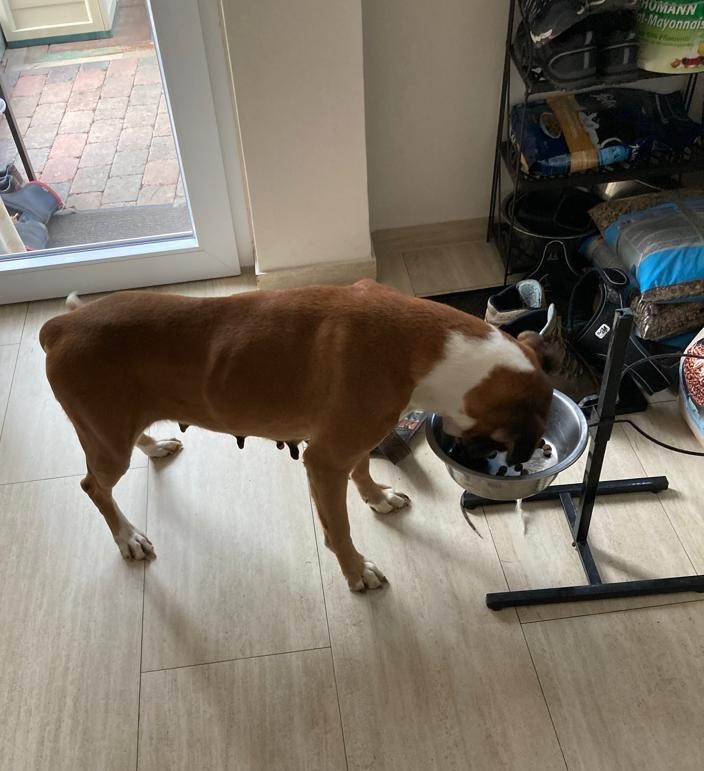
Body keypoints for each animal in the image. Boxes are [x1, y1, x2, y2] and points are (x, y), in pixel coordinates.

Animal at [39, 279, 553, 591]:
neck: (426, 348)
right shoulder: (325, 462)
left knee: (130, 442)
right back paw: (127, 537)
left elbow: (363, 469)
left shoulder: (354, 441)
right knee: (94, 485)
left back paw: (155, 445)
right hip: (108, 445)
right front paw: (356, 571)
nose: (523, 456)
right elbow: (339, 528)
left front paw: (377, 497)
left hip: (118, 428)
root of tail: (61, 324)